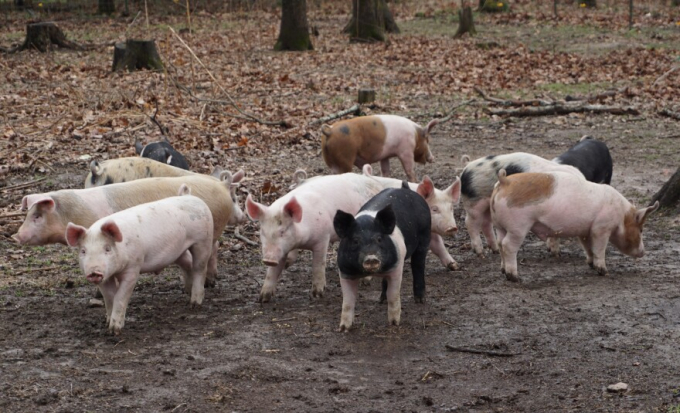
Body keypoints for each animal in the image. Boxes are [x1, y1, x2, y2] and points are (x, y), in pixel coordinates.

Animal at [13, 174, 244, 286]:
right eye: (28, 214)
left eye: (37, 216)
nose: (16, 236)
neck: (70, 215)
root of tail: (223, 188)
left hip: (210, 230)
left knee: (212, 251)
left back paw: (209, 282)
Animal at [65, 185, 215, 334]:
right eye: (83, 251)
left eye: (107, 248)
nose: (94, 271)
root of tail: (189, 196)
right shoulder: (105, 277)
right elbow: (109, 297)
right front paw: (107, 324)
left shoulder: (133, 267)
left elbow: (120, 297)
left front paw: (115, 331)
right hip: (178, 252)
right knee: (188, 263)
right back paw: (187, 292)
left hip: (203, 240)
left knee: (199, 268)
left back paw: (194, 304)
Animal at [246, 172, 386, 300]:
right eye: (263, 232)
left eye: (282, 231)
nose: (268, 259)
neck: (301, 241)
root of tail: (375, 182)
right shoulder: (282, 249)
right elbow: (273, 272)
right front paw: (263, 298)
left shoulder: (323, 238)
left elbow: (318, 265)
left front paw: (317, 295)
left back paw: (365, 281)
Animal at [334, 182, 430, 330]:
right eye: (355, 241)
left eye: (379, 239)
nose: (371, 257)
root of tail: (406, 189)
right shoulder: (345, 272)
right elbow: (348, 302)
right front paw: (344, 329)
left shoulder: (397, 267)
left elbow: (394, 295)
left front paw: (394, 323)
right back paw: (381, 300)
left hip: (425, 236)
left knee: (418, 265)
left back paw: (420, 300)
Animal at [488, 169, 660, 282]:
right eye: (641, 229)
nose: (643, 252)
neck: (621, 215)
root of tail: (504, 181)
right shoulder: (601, 228)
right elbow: (599, 249)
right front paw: (604, 272)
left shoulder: (585, 231)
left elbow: (589, 248)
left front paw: (591, 265)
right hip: (518, 226)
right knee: (508, 246)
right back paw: (515, 277)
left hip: (500, 226)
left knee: (500, 243)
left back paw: (503, 271)